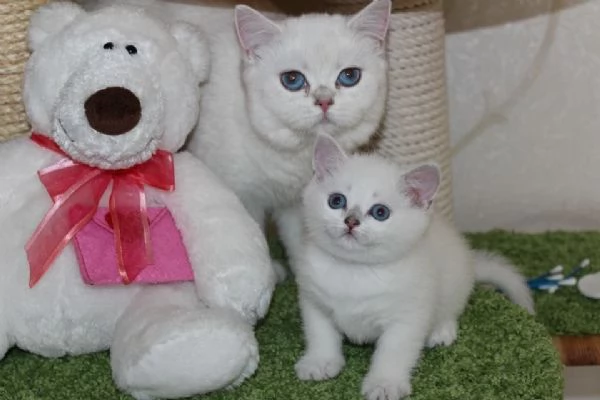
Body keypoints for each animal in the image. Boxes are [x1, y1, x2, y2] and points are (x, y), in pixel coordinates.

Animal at [185, 0, 394, 278]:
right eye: (292, 80)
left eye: (349, 76)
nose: (324, 100)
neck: (297, 152)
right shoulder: (242, 195)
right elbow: (253, 236)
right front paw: (268, 274)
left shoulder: (298, 201)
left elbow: (299, 239)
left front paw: (305, 271)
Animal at [296, 134, 536, 400]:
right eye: (336, 200)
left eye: (380, 212)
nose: (351, 221)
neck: (355, 270)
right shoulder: (314, 301)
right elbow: (320, 334)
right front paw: (320, 362)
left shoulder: (407, 316)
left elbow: (393, 352)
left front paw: (384, 383)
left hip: (455, 279)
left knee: (451, 308)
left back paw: (441, 331)